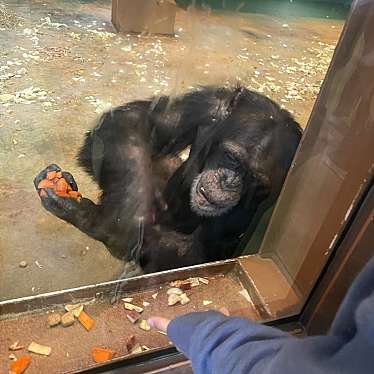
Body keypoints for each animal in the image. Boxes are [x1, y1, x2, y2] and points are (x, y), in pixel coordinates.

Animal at [34, 87, 300, 274]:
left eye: (256, 181)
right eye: (233, 158)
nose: (229, 182)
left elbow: (193, 255)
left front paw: (101, 222)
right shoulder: (209, 105)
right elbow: (136, 121)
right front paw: (122, 218)